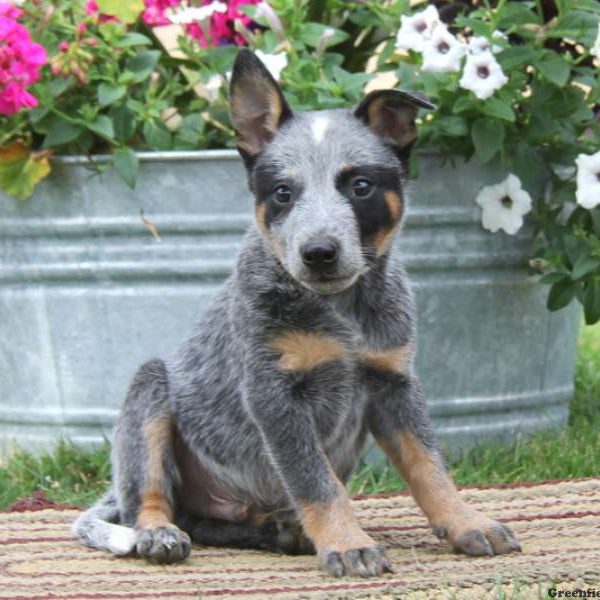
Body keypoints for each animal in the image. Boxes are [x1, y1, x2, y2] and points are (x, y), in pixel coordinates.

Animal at [71, 50, 520, 576]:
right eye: (283, 192)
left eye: (360, 186)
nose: (319, 252)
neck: (343, 312)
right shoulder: (275, 394)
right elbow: (316, 482)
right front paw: (348, 544)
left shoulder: (393, 381)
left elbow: (429, 465)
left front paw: (468, 522)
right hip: (150, 391)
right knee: (151, 499)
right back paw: (159, 534)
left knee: (207, 522)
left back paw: (280, 532)